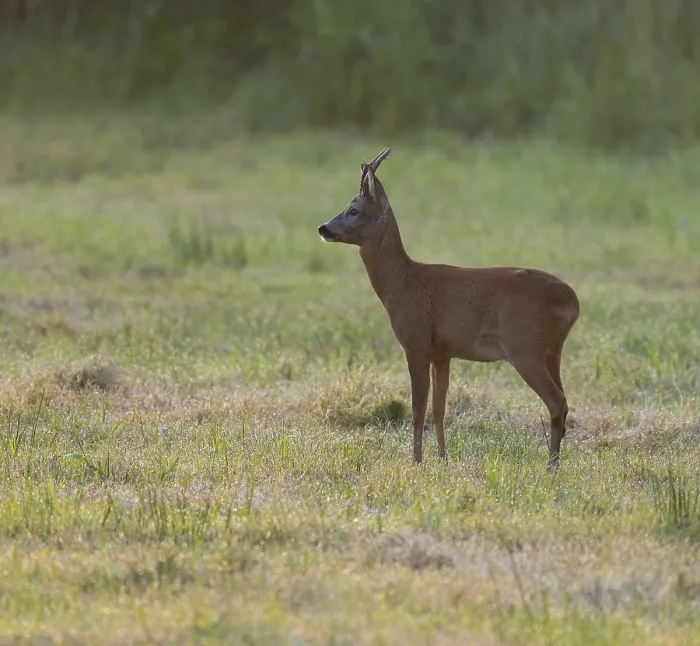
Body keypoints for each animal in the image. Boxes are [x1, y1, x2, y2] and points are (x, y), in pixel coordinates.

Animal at [317, 147, 580, 467]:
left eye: (353, 209)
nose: (323, 228)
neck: (402, 283)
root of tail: (573, 300)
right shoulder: (443, 353)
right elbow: (438, 409)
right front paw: (443, 460)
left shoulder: (416, 344)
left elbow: (418, 409)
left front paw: (416, 461)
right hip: (552, 351)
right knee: (564, 402)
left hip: (524, 346)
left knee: (557, 401)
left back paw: (551, 466)